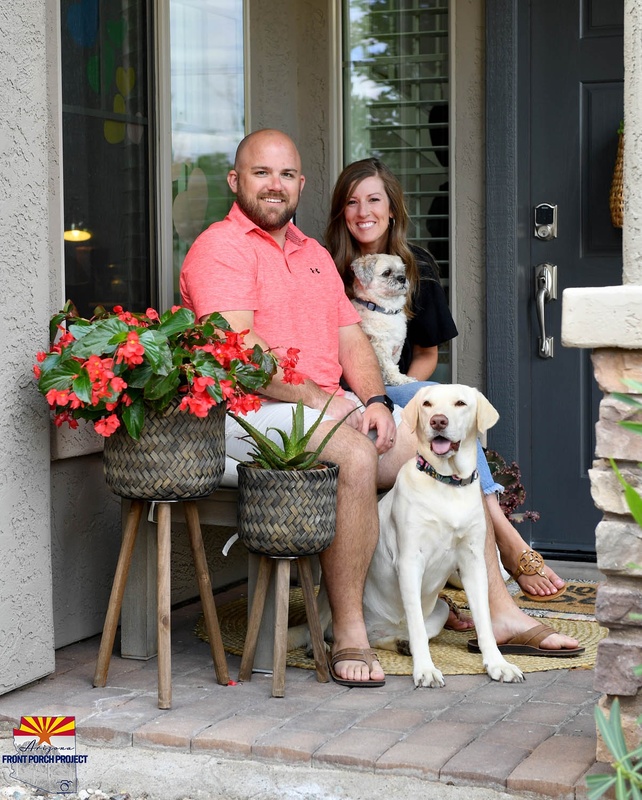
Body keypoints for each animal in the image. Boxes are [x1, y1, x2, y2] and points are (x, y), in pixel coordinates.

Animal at [350, 252, 416, 386]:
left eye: (402, 271)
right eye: (386, 272)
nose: (402, 278)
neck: (386, 310)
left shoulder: (397, 347)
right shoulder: (380, 346)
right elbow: (390, 367)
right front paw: (401, 379)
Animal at [362, 382, 524, 688]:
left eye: (460, 403)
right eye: (427, 404)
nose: (438, 421)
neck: (448, 483)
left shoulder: (473, 562)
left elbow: (484, 620)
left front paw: (498, 664)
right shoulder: (409, 561)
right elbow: (415, 622)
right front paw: (425, 670)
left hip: (440, 611)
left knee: (388, 636)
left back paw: (400, 643)